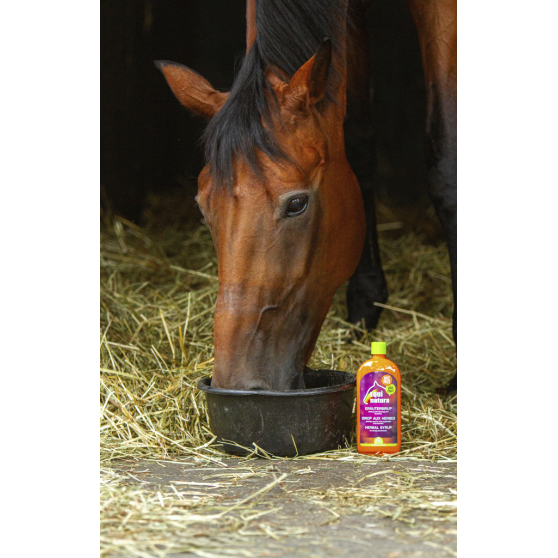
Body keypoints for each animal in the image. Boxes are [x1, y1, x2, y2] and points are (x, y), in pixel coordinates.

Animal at [158, 0, 460, 394]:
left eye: (297, 204)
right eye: (203, 208)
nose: (237, 382)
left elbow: (446, 164)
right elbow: (356, 143)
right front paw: (364, 309)